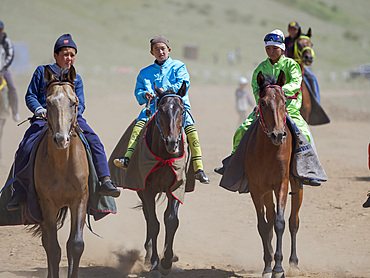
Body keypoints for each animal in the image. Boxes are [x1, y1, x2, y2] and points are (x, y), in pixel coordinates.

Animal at [33, 65, 89, 278]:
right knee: (47, 243)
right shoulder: (47, 204)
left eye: (74, 102)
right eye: (48, 103)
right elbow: (53, 248)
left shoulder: (80, 200)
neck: (62, 166)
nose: (61, 139)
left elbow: (75, 245)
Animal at [246, 70, 304, 276]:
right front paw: (267, 265)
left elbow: (280, 222)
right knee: (269, 219)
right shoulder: (256, 188)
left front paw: (278, 267)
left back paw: (293, 261)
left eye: (284, 101)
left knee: (294, 221)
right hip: (266, 191)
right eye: (263, 103)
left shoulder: (281, 183)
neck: (267, 151)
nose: (278, 135)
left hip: (297, 186)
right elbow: (264, 225)